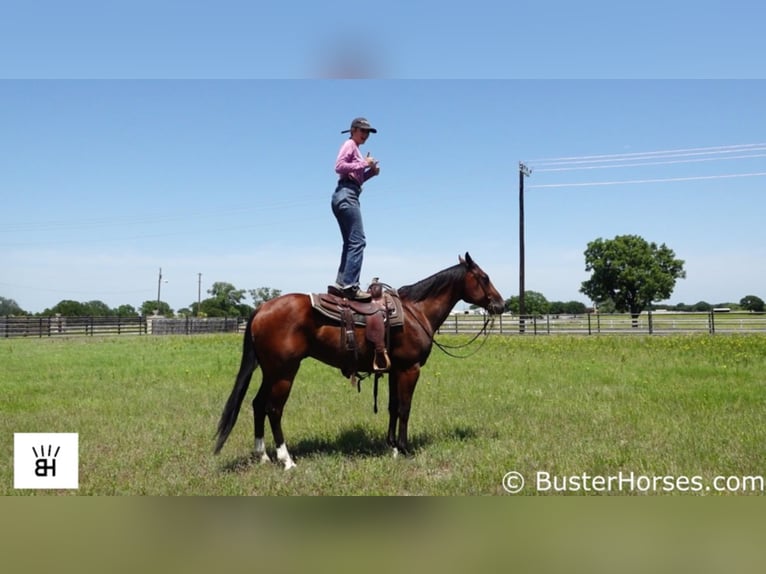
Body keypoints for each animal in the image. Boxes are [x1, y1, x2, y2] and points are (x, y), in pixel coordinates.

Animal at [213, 254, 508, 470]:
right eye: (484, 277)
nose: (501, 305)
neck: (416, 312)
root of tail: (262, 308)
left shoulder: (393, 370)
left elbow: (392, 408)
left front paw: (392, 447)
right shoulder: (410, 370)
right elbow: (405, 408)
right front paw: (405, 449)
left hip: (270, 371)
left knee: (257, 404)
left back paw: (263, 456)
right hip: (284, 372)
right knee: (274, 409)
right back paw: (287, 460)